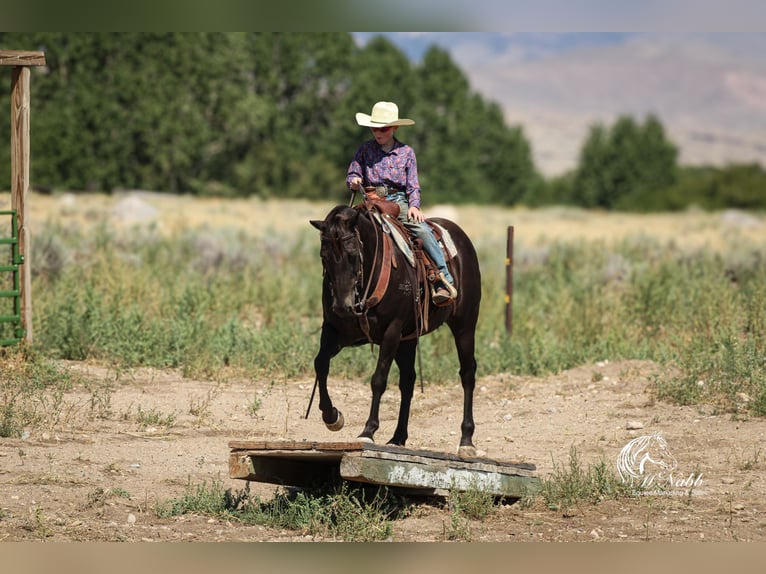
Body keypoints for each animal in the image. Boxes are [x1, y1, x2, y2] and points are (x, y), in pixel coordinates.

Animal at [308, 202, 482, 457]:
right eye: (324, 257)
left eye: (352, 255)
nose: (342, 306)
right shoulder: (334, 330)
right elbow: (320, 364)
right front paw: (332, 417)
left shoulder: (392, 331)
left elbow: (378, 380)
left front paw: (368, 431)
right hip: (407, 340)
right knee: (408, 381)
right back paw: (398, 437)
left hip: (465, 326)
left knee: (468, 373)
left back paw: (466, 440)